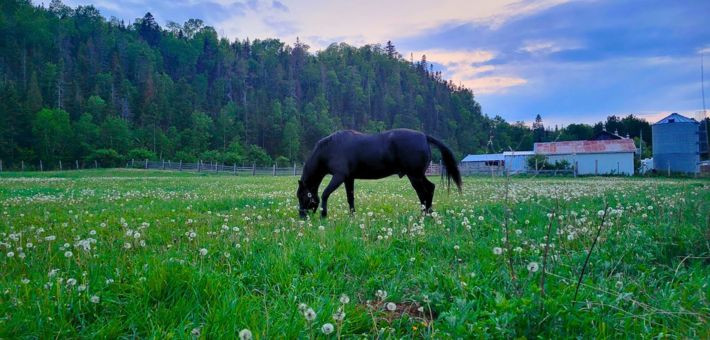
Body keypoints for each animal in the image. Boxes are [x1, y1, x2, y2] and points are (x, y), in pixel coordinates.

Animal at [298, 127, 464, 218]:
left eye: (302, 196)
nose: (302, 216)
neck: (330, 148)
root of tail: (424, 136)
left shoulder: (339, 176)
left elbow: (325, 194)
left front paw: (323, 215)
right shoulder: (349, 178)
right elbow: (350, 198)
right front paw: (352, 216)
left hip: (415, 175)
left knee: (425, 192)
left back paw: (424, 215)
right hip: (417, 175)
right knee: (429, 189)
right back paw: (428, 214)